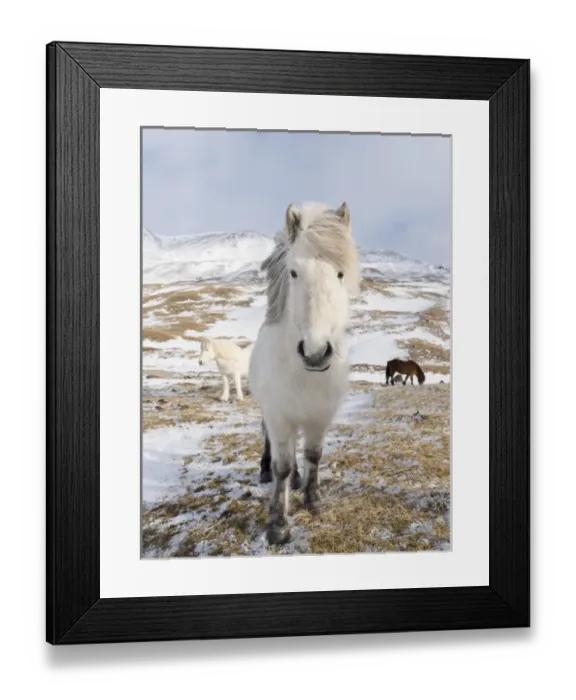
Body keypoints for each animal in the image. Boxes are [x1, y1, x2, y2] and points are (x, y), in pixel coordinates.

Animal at [249, 201, 361, 545]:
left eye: (340, 273)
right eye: (294, 272)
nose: (315, 351)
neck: (305, 373)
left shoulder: (319, 416)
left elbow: (313, 455)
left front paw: (313, 500)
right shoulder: (278, 415)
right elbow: (282, 465)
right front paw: (278, 523)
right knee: (270, 444)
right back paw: (265, 471)